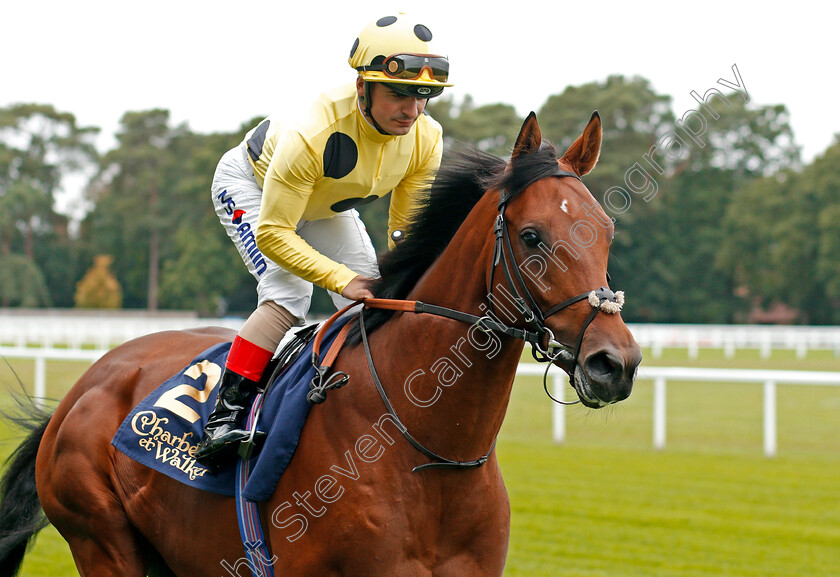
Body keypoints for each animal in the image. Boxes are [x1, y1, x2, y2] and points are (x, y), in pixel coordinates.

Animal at [1, 112, 644, 576]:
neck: (429, 452)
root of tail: (81, 388)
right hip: (102, 541)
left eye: (607, 231)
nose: (615, 363)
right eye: (532, 236)